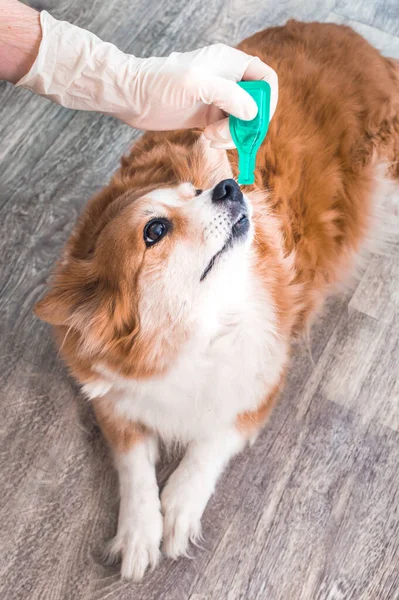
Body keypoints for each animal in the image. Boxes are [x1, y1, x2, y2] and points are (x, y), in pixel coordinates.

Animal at [34, 21, 399, 580]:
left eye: (196, 190)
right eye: (155, 229)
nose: (229, 186)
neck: (197, 331)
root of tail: (354, 38)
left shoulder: (261, 383)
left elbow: (213, 438)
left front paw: (181, 503)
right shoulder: (112, 393)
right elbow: (133, 461)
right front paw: (139, 529)